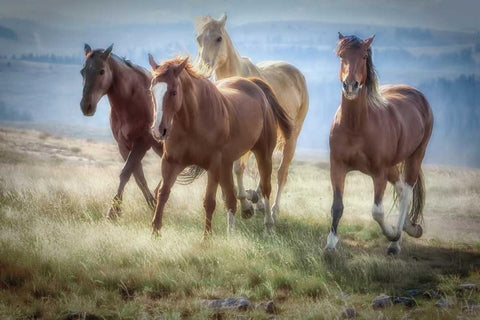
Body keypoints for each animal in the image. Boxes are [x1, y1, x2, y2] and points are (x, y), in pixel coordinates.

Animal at [80, 43, 163, 218]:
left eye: (101, 71)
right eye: (82, 71)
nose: (86, 106)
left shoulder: (141, 143)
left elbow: (125, 173)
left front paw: (113, 212)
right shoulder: (123, 145)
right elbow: (138, 176)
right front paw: (152, 204)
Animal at [148, 55, 292, 235]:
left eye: (173, 92)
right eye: (151, 91)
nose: (158, 130)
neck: (192, 122)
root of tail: (254, 86)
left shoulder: (214, 165)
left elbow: (209, 201)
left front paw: (206, 237)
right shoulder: (171, 162)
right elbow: (163, 193)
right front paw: (155, 232)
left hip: (263, 154)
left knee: (265, 188)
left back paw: (268, 227)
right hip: (227, 164)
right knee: (231, 197)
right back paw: (236, 225)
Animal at [194, 13, 310, 226]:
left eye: (218, 38)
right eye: (199, 39)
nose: (205, 65)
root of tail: (296, 73)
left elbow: (238, 169)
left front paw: (246, 205)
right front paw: (244, 202)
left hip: (291, 137)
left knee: (281, 173)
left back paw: (272, 210)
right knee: (263, 170)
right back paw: (259, 201)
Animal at [326, 34, 436, 255]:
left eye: (363, 56)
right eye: (342, 56)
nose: (350, 86)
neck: (356, 125)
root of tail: (416, 94)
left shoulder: (379, 173)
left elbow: (377, 212)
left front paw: (392, 234)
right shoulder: (338, 166)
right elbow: (337, 207)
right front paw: (330, 244)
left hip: (415, 156)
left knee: (406, 192)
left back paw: (396, 242)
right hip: (392, 167)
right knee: (401, 189)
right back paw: (411, 228)